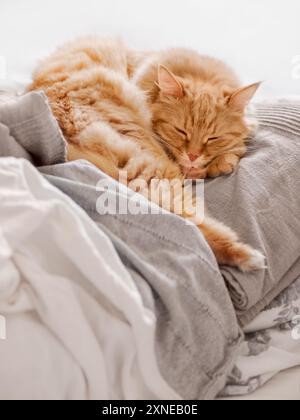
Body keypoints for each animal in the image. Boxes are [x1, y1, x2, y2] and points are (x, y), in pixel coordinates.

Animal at [29, 37, 264, 272]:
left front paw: (223, 159)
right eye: (181, 131)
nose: (193, 156)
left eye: (212, 138)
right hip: (155, 166)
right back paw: (247, 256)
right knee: (192, 222)